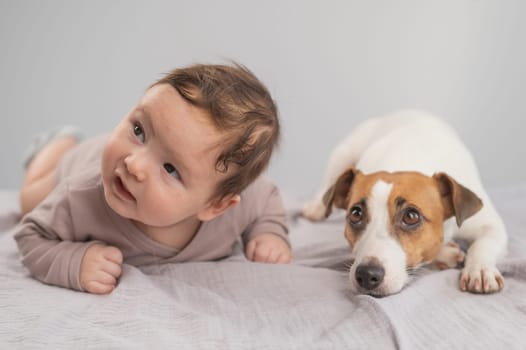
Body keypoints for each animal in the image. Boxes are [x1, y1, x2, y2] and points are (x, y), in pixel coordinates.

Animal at [304, 110, 510, 296]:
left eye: (411, 216)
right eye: (356, 214)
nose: (366, 275)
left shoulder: (490, 225)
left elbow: (482, 244)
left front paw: (480, 270)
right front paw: (446, 253)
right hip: (342, 153)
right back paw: (316, 207)